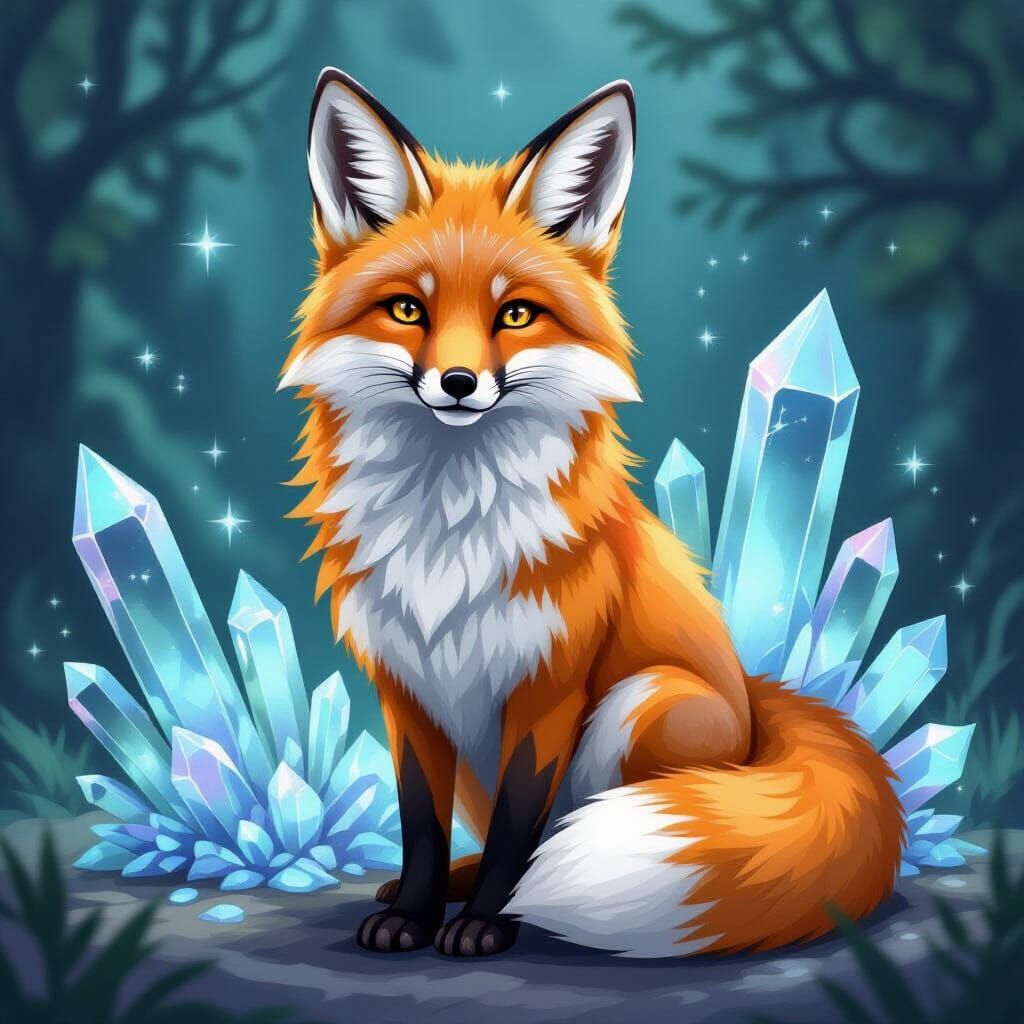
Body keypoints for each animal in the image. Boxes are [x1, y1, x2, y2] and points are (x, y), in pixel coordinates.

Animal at [279, 67, 905, 959]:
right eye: (408, 310)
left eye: (515, 313)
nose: (459, 384)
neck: (448, 529)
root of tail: (755, 705)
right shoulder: (407, 691)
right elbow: (420, 824)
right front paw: (416, 913)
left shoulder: (550, 689)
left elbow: (518, 828)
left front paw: (484, 923)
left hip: (642, 705)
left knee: (560, 834)